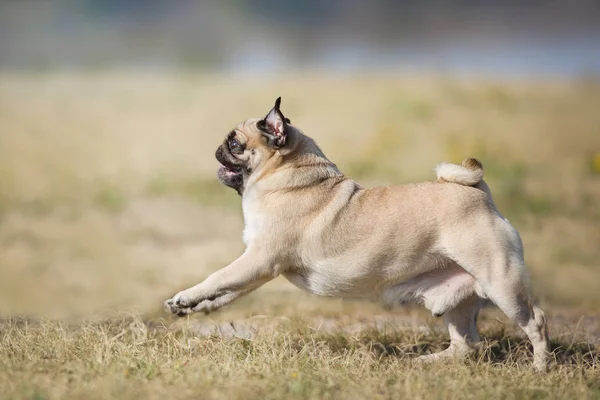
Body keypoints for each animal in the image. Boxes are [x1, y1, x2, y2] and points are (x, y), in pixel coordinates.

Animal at [164, 97, 548, 372]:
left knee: (536, 322)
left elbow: (217, 277)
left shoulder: (259, 261)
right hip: (458, 298)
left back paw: (540, 367)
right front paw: (193, 307)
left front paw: (187, 295)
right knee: (466, 344)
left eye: (235, 143)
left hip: (501, 283)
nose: (218, 148)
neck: (288, 176)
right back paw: (426, 362)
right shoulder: (254, 269)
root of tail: (478, 191)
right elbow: (225, 293)